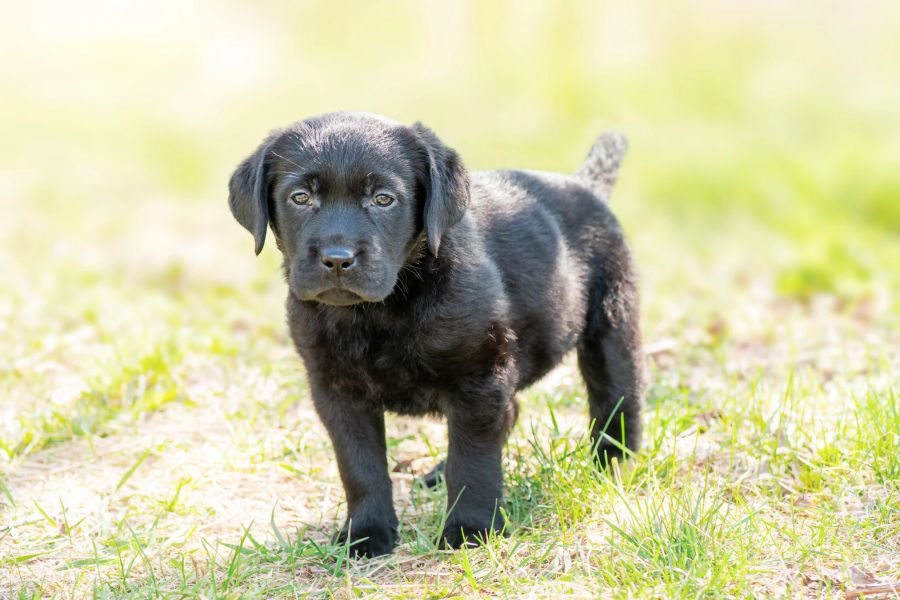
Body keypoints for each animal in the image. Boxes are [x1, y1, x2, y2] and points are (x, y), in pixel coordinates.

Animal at [229, 111, 644, 556]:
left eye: (383, 199)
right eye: (301, 198)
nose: (337, 259)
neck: (377, 311)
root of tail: (583, 184)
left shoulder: (480, 375)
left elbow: (473, 461)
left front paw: (470, 531)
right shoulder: (336, 390)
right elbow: (359, 465)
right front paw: (366, 533)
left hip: (611, 325)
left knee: (617, 402)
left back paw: (613, 467)